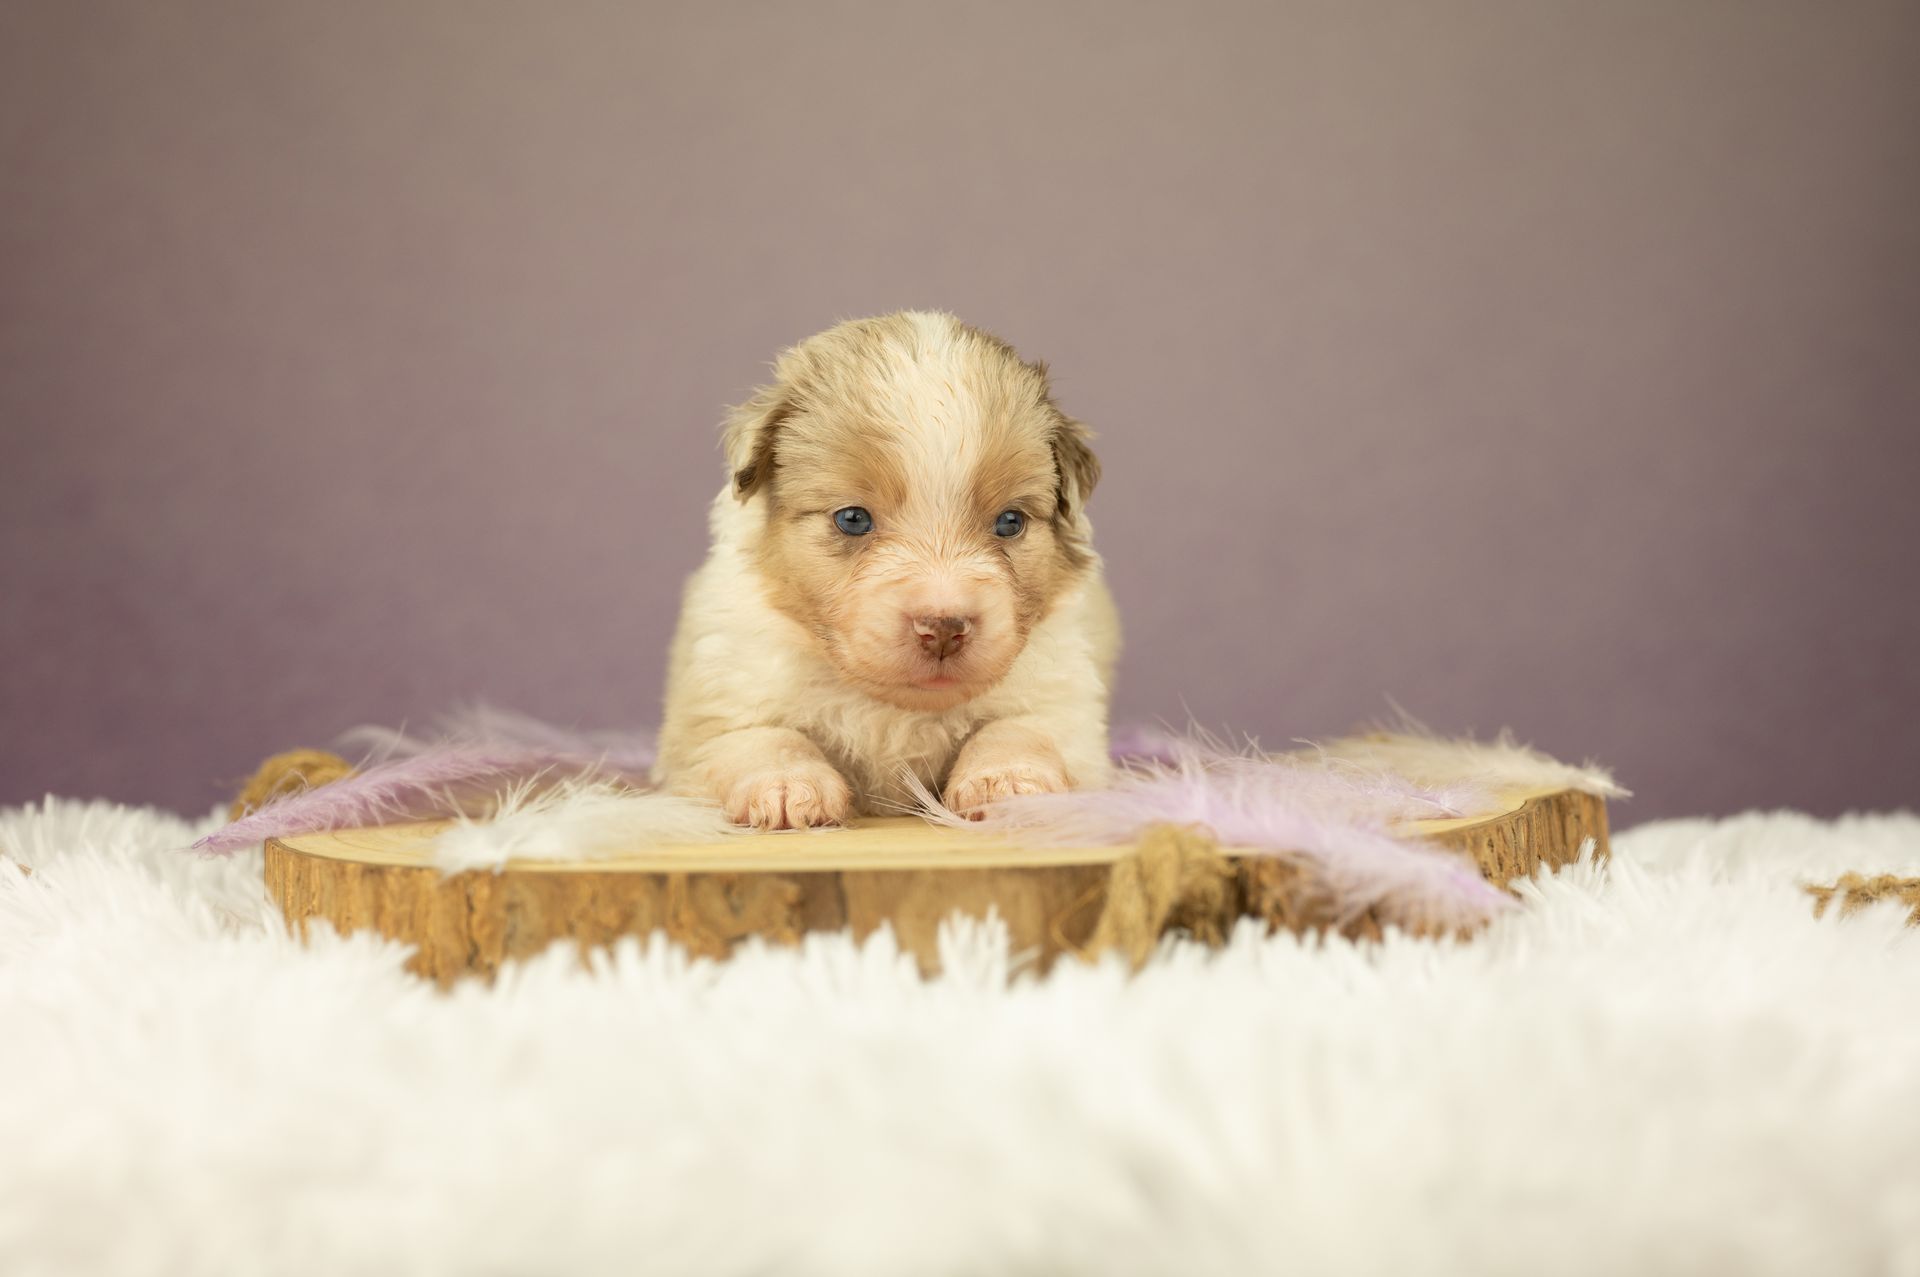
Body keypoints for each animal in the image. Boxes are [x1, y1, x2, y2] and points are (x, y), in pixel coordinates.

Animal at [654, 311, 1119, 829]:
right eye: (853, 519)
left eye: (1010, 522)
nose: (943, 628)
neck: (896, 708)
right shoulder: (716, 709)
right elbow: (761, 737)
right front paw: (787, 785)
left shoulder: (1065, 707)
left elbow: (1016, 729)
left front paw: (1008, 781)